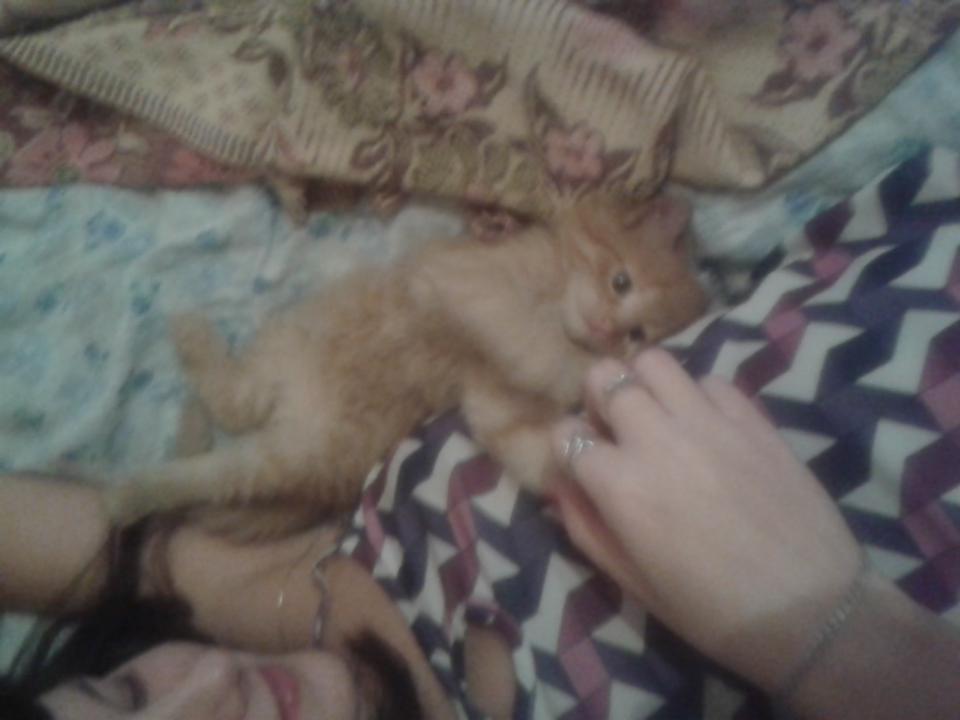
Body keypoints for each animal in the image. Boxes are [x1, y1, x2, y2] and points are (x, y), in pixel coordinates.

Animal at [104, 195, 708, 538]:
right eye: (620, 281)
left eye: (635, 337)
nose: (606, 330)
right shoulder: (472, 280)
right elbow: (519, 333)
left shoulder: (493, 400)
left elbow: (520, 434)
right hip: (286, 351)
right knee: (224, 406)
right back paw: (190, 343)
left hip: (286, 447)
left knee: (220, 437)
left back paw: (131, 484)